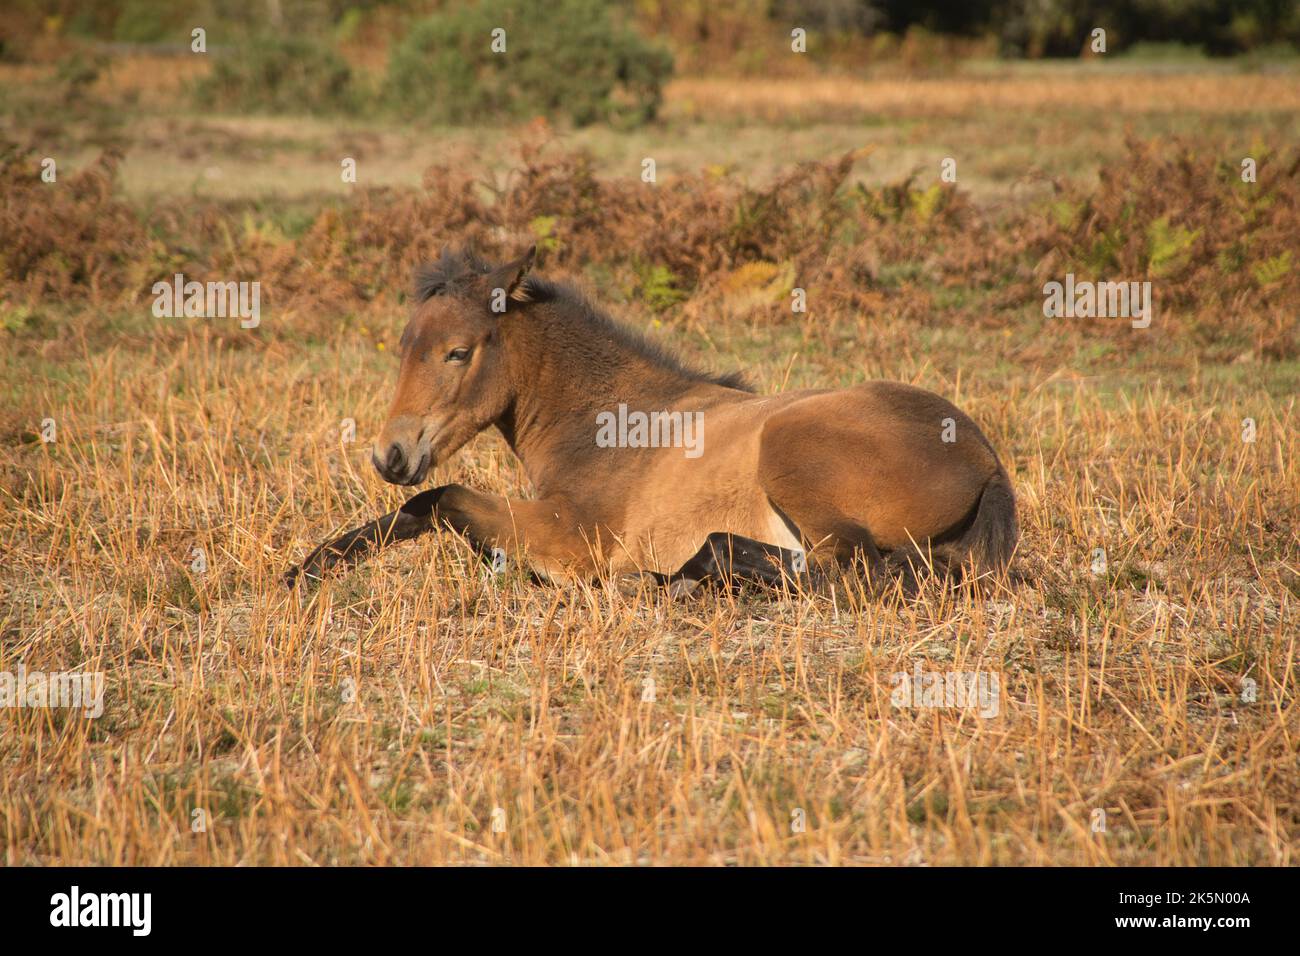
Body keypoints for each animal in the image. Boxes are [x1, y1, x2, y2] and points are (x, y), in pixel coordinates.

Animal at [284, 246, 1017, 594]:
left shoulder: (572, 536)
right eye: (403, 345)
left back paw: (669, 582)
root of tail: (984, 459)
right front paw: (308, 569)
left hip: (792, 457)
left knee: (854, 576)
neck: (607, 420)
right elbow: (422, 510)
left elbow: (442, 501)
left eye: (458, 352)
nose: (390, 456)